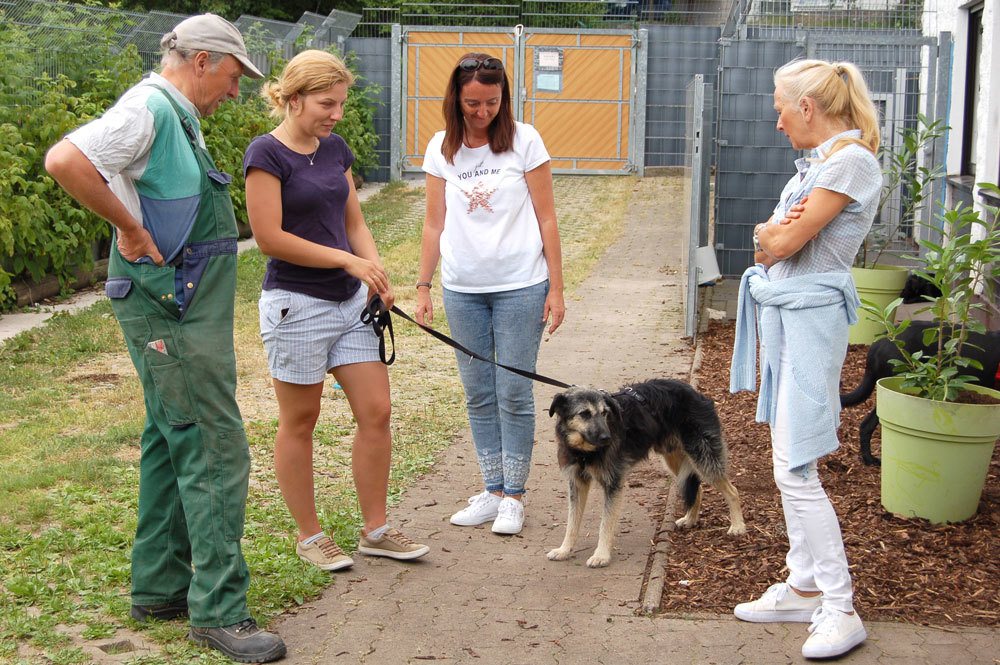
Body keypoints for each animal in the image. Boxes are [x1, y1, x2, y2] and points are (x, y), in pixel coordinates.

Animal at [546, 379, 746, 568]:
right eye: (584, 414)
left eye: (604, 413)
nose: (606, 438)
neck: (585, 451)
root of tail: (696, 393)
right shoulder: (577, 483)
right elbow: (572, 522)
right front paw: (564, 550)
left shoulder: (613, 483)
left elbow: (606, 523)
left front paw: (601, 555)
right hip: (674, 459)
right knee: (698, 489)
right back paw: (690, 519)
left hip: (703, 457)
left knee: (732, 491)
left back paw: (737, 526)